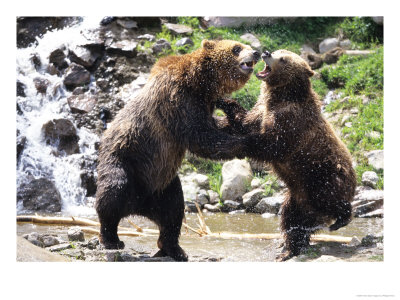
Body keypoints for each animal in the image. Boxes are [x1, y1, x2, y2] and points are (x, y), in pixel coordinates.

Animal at [95, 39, 260, 260]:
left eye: (245, 45)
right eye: (236, 48)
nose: (257, 52)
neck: (201, 83)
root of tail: (138, 206)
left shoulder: (202, 103)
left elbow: (212, 126)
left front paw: (234, 116)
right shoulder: (176, 100)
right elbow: (200, 136)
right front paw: (248, 143)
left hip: (163, 184)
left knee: (172, 212)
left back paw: (174, 249)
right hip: (125, 161)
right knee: (113, 194)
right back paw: (112, 239)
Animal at [217, 49, 358, 260]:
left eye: (283, 59)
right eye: (277, 52)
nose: (266, 52)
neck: (282, 96)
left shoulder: (291, 122)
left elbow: (271, 144)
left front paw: (241, 143)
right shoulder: (262, 110)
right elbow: (244, 121)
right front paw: (222, 103)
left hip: (321, 176)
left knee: (330, 199)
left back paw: (341, 218)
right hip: (297, 198)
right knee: (291, 220)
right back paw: (289, 249)